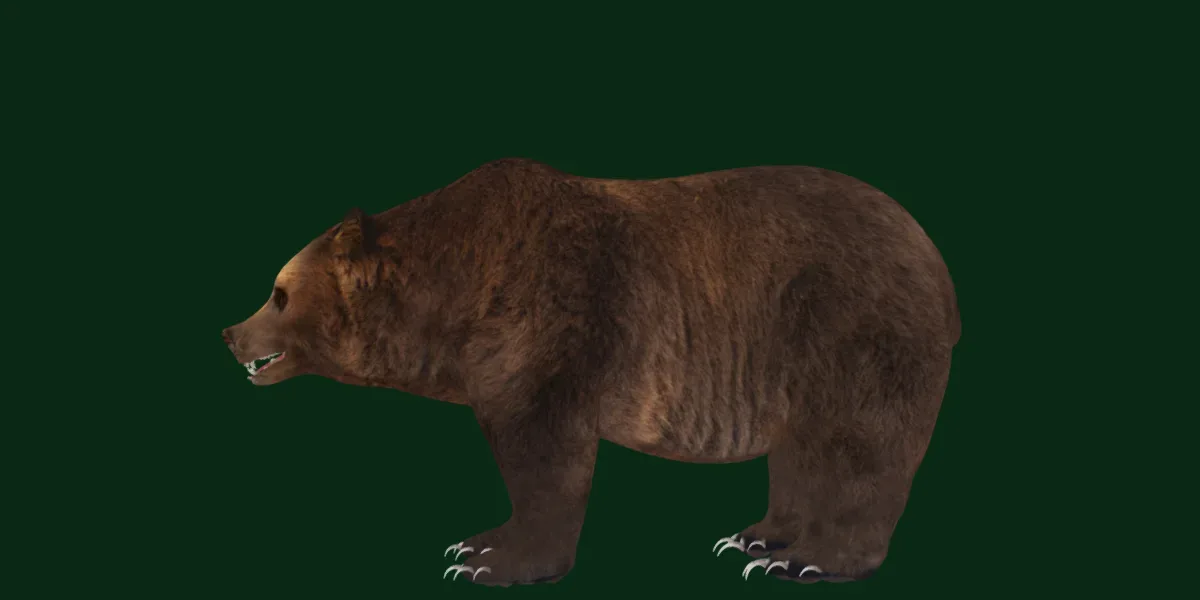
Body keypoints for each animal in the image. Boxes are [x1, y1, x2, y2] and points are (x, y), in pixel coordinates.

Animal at [222, 157, 961, 586]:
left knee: (860, 448)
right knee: (802, 450)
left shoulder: (553, 319)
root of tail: (937, 262)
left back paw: (808, 557)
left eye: (278, 293)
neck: (453, 292)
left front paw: (489, 557)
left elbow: (546, 456)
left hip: (850, 327)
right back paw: (757, 535)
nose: (230, 334)